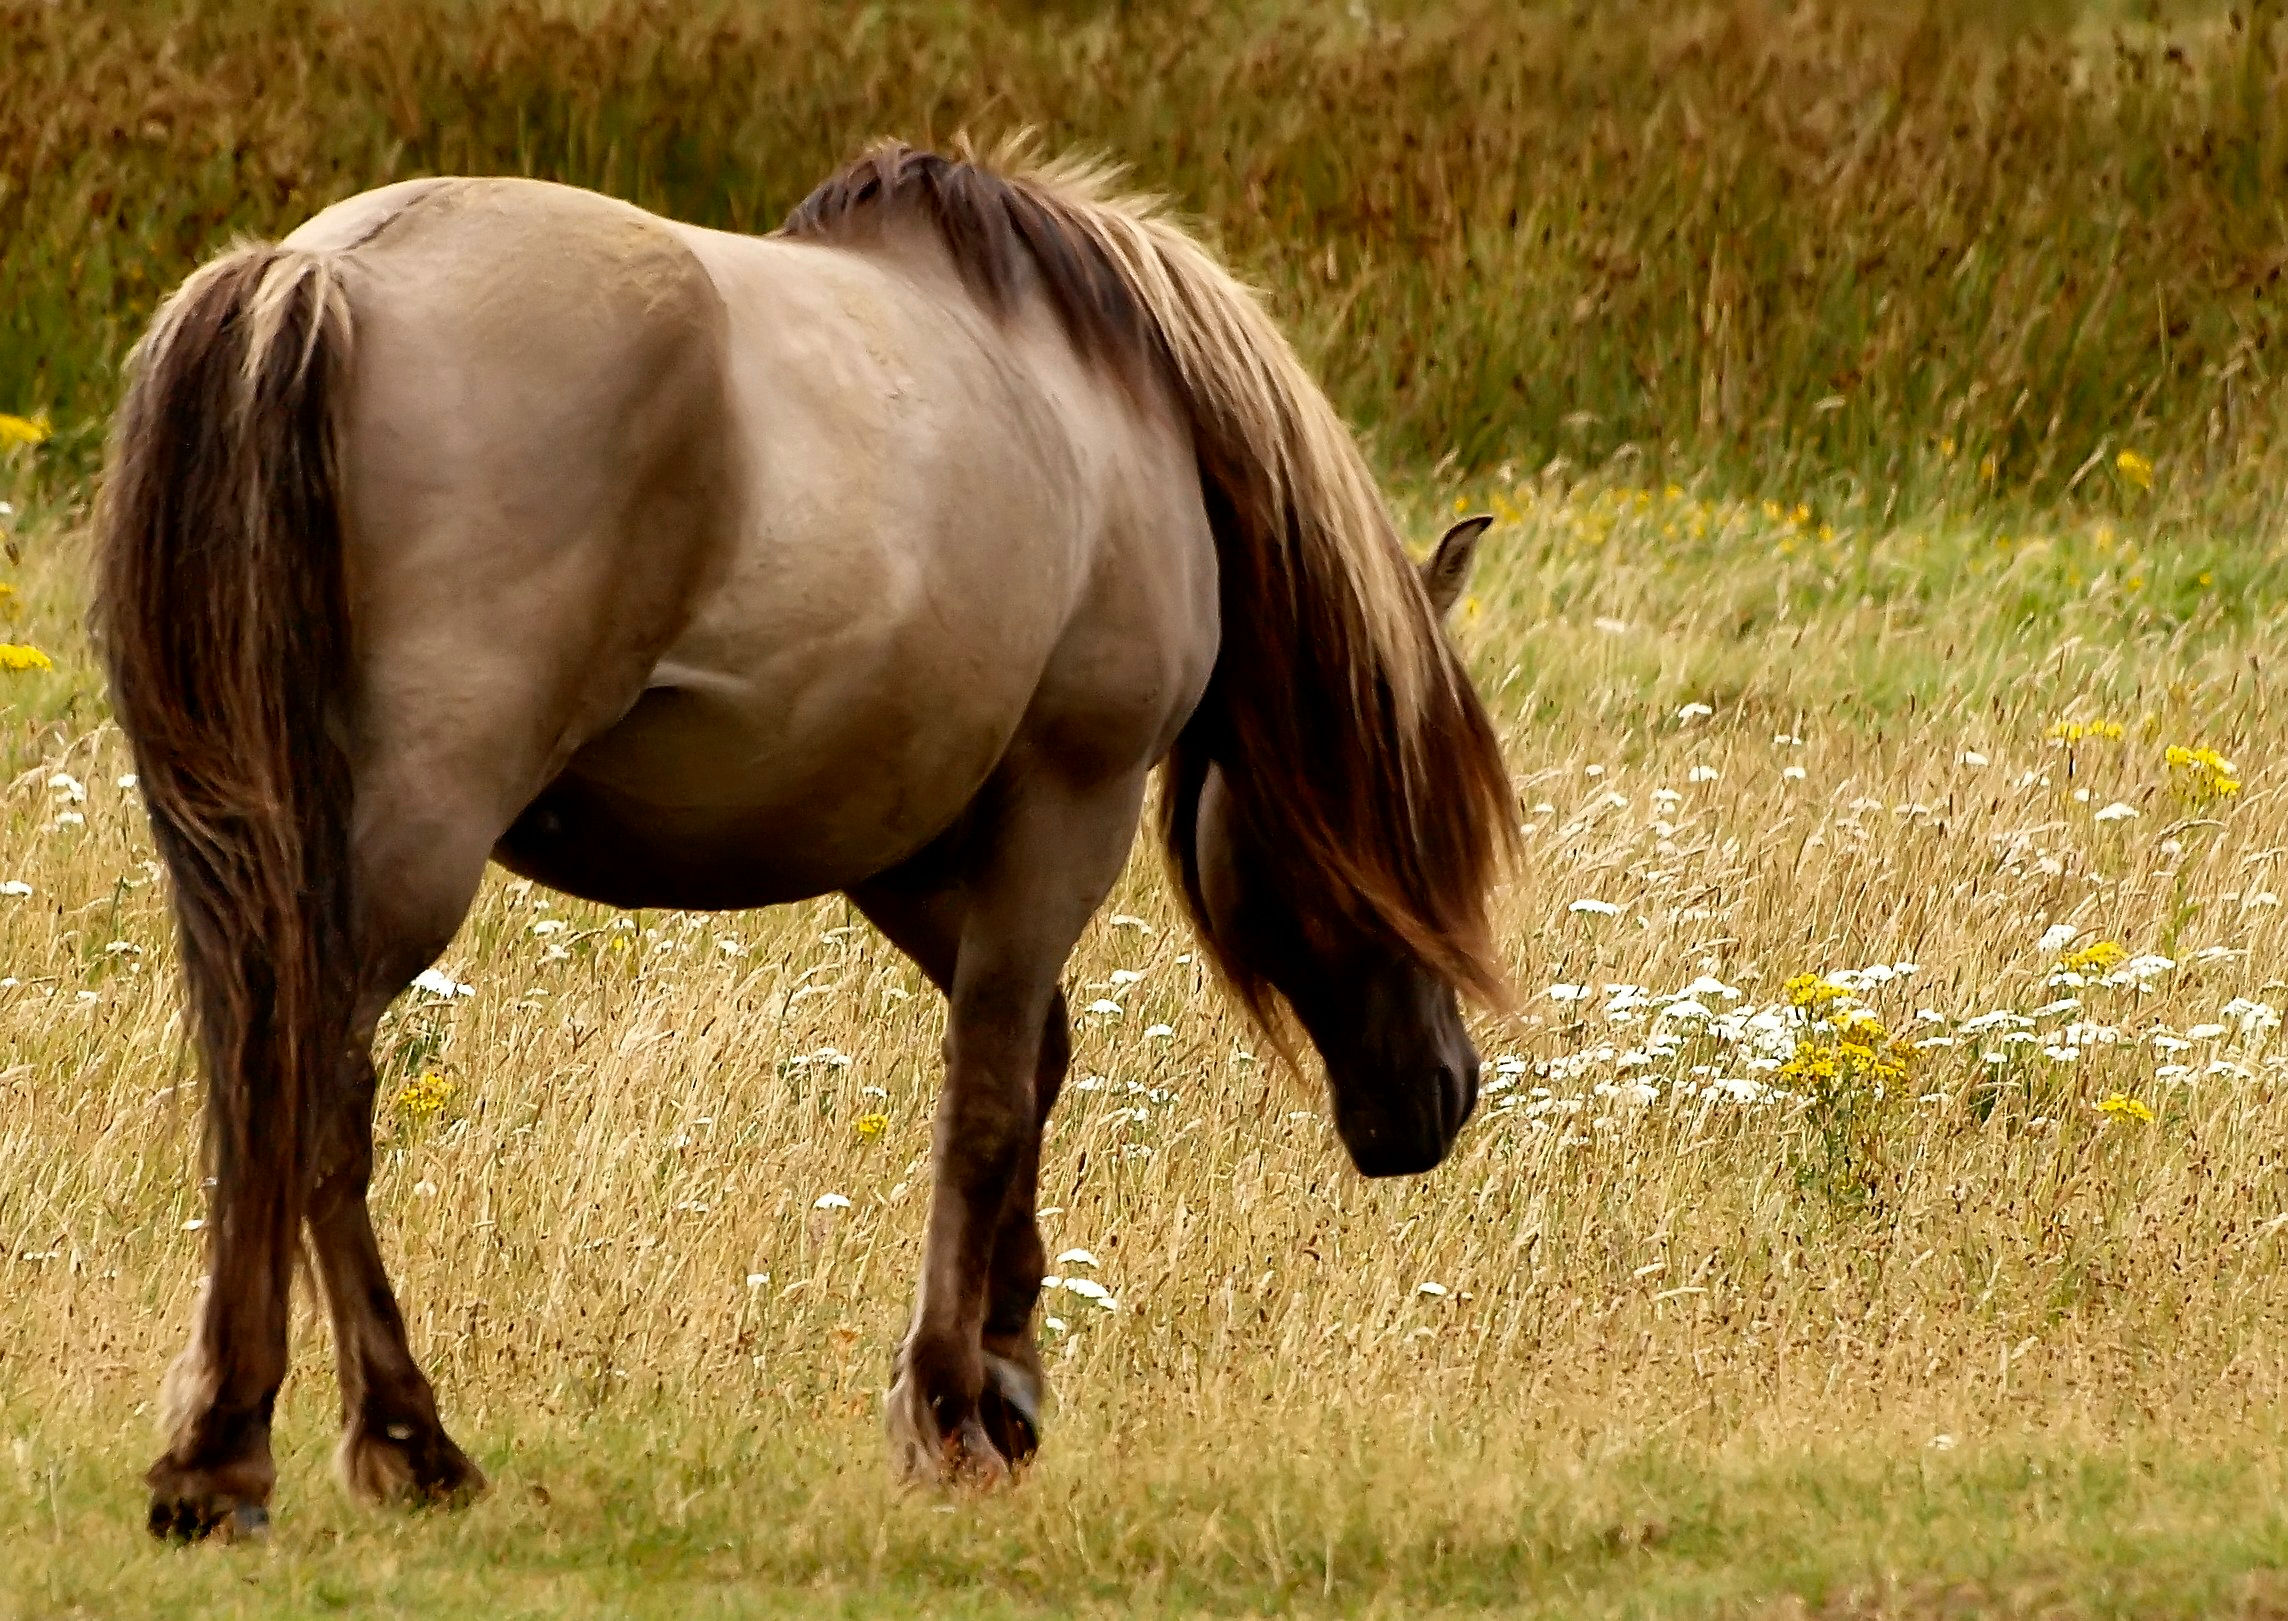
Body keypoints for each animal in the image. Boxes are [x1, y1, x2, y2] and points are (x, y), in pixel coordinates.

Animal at [94, 138, 1516, 1541]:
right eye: (1420, 822)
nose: (1438, 1096)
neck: (1115, 404)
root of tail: (325, 273)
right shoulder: (1067, 800)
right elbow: (986, 1097)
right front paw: (948, 1408)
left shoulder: (904, 838)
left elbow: (1033, 1063)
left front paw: (1001, 1375)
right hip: (400, 858)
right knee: (310, 1086)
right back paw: (329, 1445)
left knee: (271, 1086)